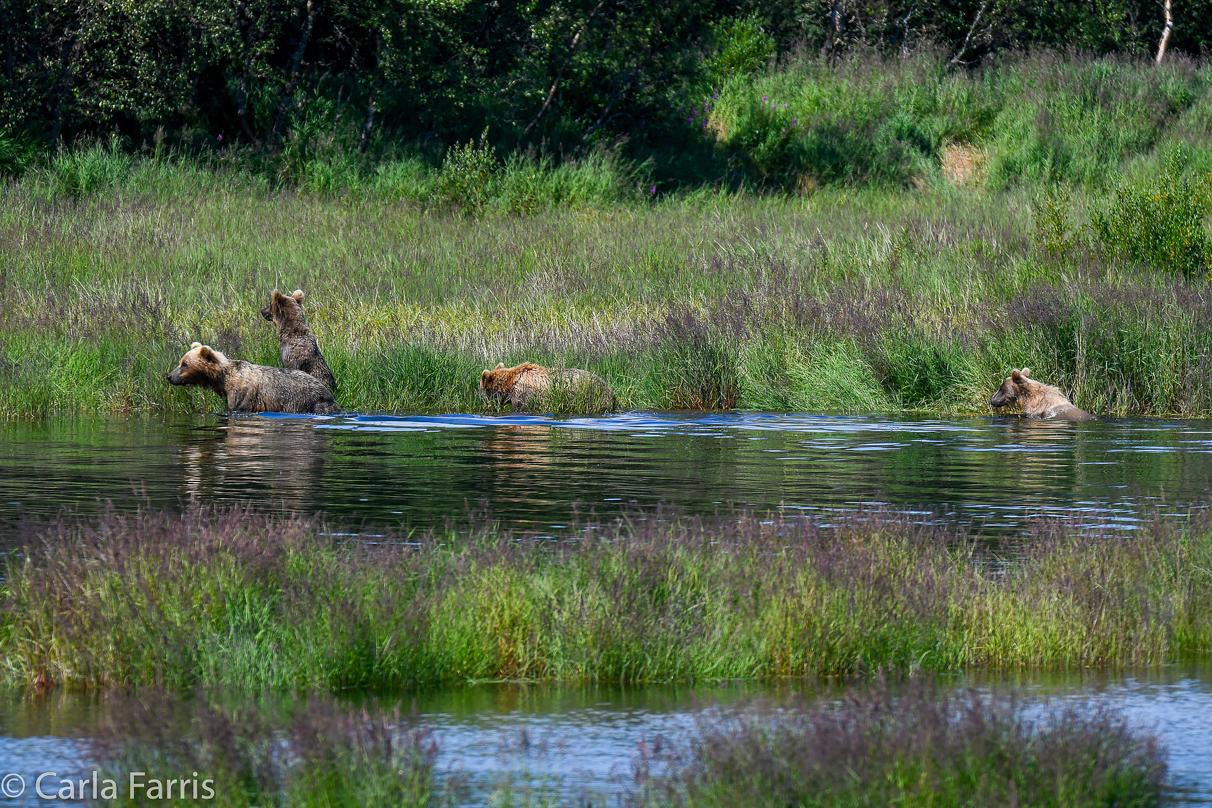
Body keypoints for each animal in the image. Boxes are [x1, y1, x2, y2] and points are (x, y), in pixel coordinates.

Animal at [167, 344, 341, 414]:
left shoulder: (242, 393)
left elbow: (237, 407)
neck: (222, 380)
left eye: (184, 364)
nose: (169, 376)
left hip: (305, 401)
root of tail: (329, 393)